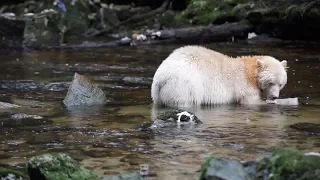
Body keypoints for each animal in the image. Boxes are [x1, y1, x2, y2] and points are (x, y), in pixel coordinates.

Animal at [151, 45, 288, 105]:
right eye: (270, 82)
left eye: (280, 84)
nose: (274, 97)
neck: (250, 72)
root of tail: (161, 77)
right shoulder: (244, 86)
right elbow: (251, 101)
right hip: (184, 84)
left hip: (158, 93)